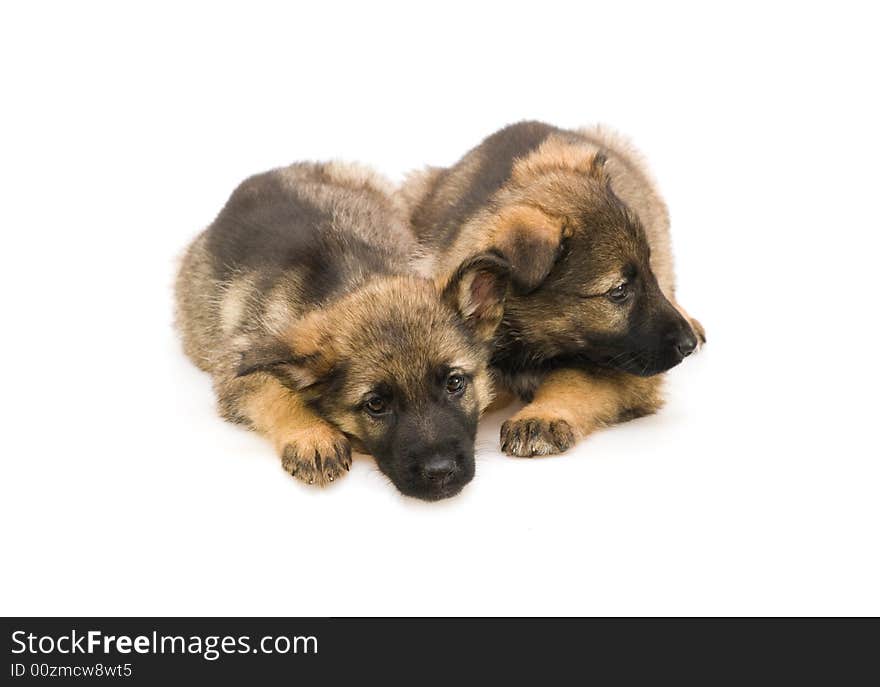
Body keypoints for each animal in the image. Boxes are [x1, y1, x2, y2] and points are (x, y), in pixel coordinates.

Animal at [175, 161, 508, 500]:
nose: (440, 473)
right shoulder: (236, 363)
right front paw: (312, 435)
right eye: (375, 404)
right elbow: (272, 392)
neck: (353, 280)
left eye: (455, 383)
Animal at [398, 123, 708, 456]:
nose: (687, 345)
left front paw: (541, 416)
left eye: (647, 274)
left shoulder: (622, 365)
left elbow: (575, 379)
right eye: (619, 291)